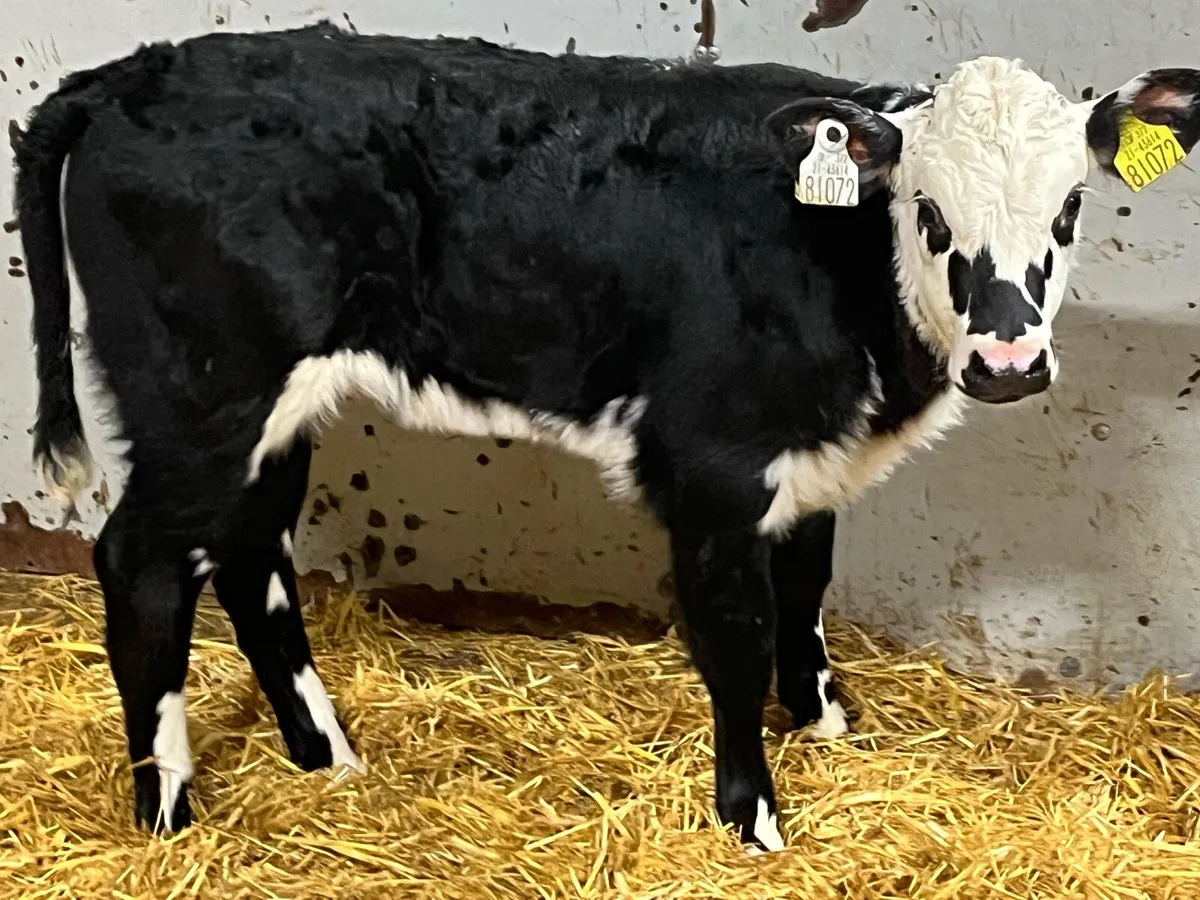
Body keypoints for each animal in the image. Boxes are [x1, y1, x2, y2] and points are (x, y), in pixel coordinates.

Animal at [14, 22, 1200, 850]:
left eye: (1069, 209)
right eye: (928, 211)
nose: (1008, 360)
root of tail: (132, 74)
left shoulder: (809, 460)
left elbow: (808, 590)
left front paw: (830, 731)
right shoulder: (712, 463)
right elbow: (737, 636)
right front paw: (754, 821)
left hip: (267, 413)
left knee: (249, 552)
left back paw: (329, 758)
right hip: (198, 395)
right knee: (141, 564)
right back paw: (170, 815)